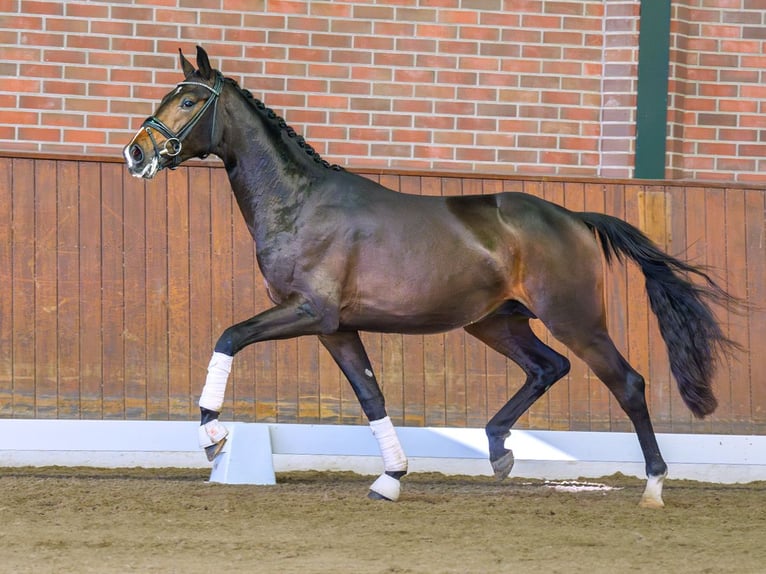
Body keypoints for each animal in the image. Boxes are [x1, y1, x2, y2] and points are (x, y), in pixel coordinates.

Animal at [126, 48, 736, 508]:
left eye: (188, 100)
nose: (136, 153)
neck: (300, 204)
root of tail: (574, 217)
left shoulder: (308, 312)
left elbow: (229, 336)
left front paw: (213, 436)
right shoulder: (336, 328)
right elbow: (371, 396)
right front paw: (391, 478)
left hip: (575, 319)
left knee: (626, 382)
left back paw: (653, 486)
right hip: (496, 323)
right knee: (548, 367)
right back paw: (499, 450)